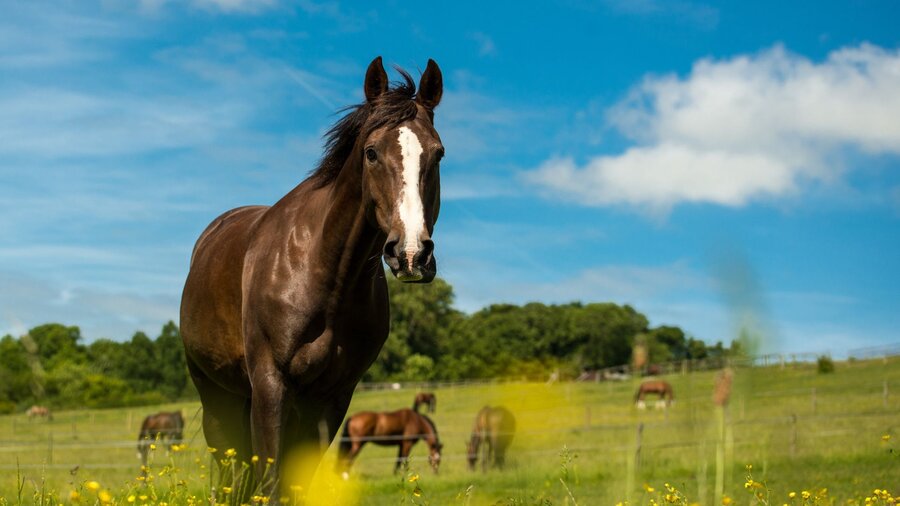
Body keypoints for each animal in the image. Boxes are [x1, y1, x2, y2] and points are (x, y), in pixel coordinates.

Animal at [180, 56, 444, 495]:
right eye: (371, 153)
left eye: (438, 154)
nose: (411, 253)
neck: (324, 274)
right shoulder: (271, 385)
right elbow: (270, 484)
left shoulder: (331, 398)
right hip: (217, 399)